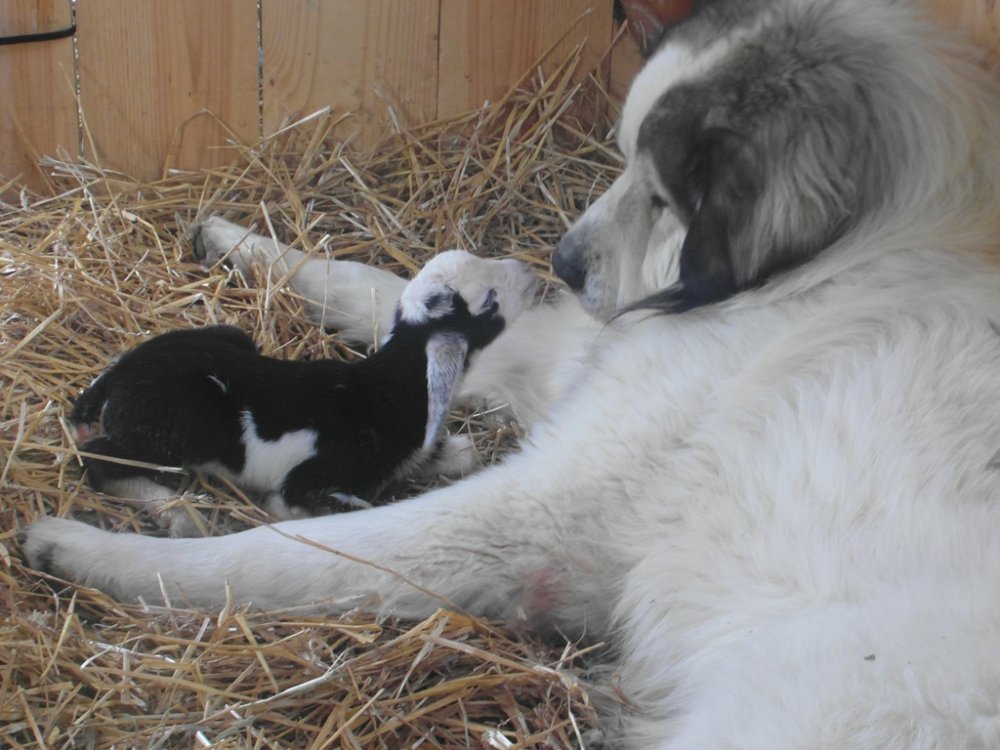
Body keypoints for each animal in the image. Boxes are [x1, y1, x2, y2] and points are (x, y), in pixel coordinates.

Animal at [19, 2, 1000, 748]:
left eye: (661, 197)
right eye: (620, 158)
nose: (560, 264)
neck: (839, 260)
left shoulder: (547, 505)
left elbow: (293, 554)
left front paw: (93, 551)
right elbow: (374, 284)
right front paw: (239, 241)